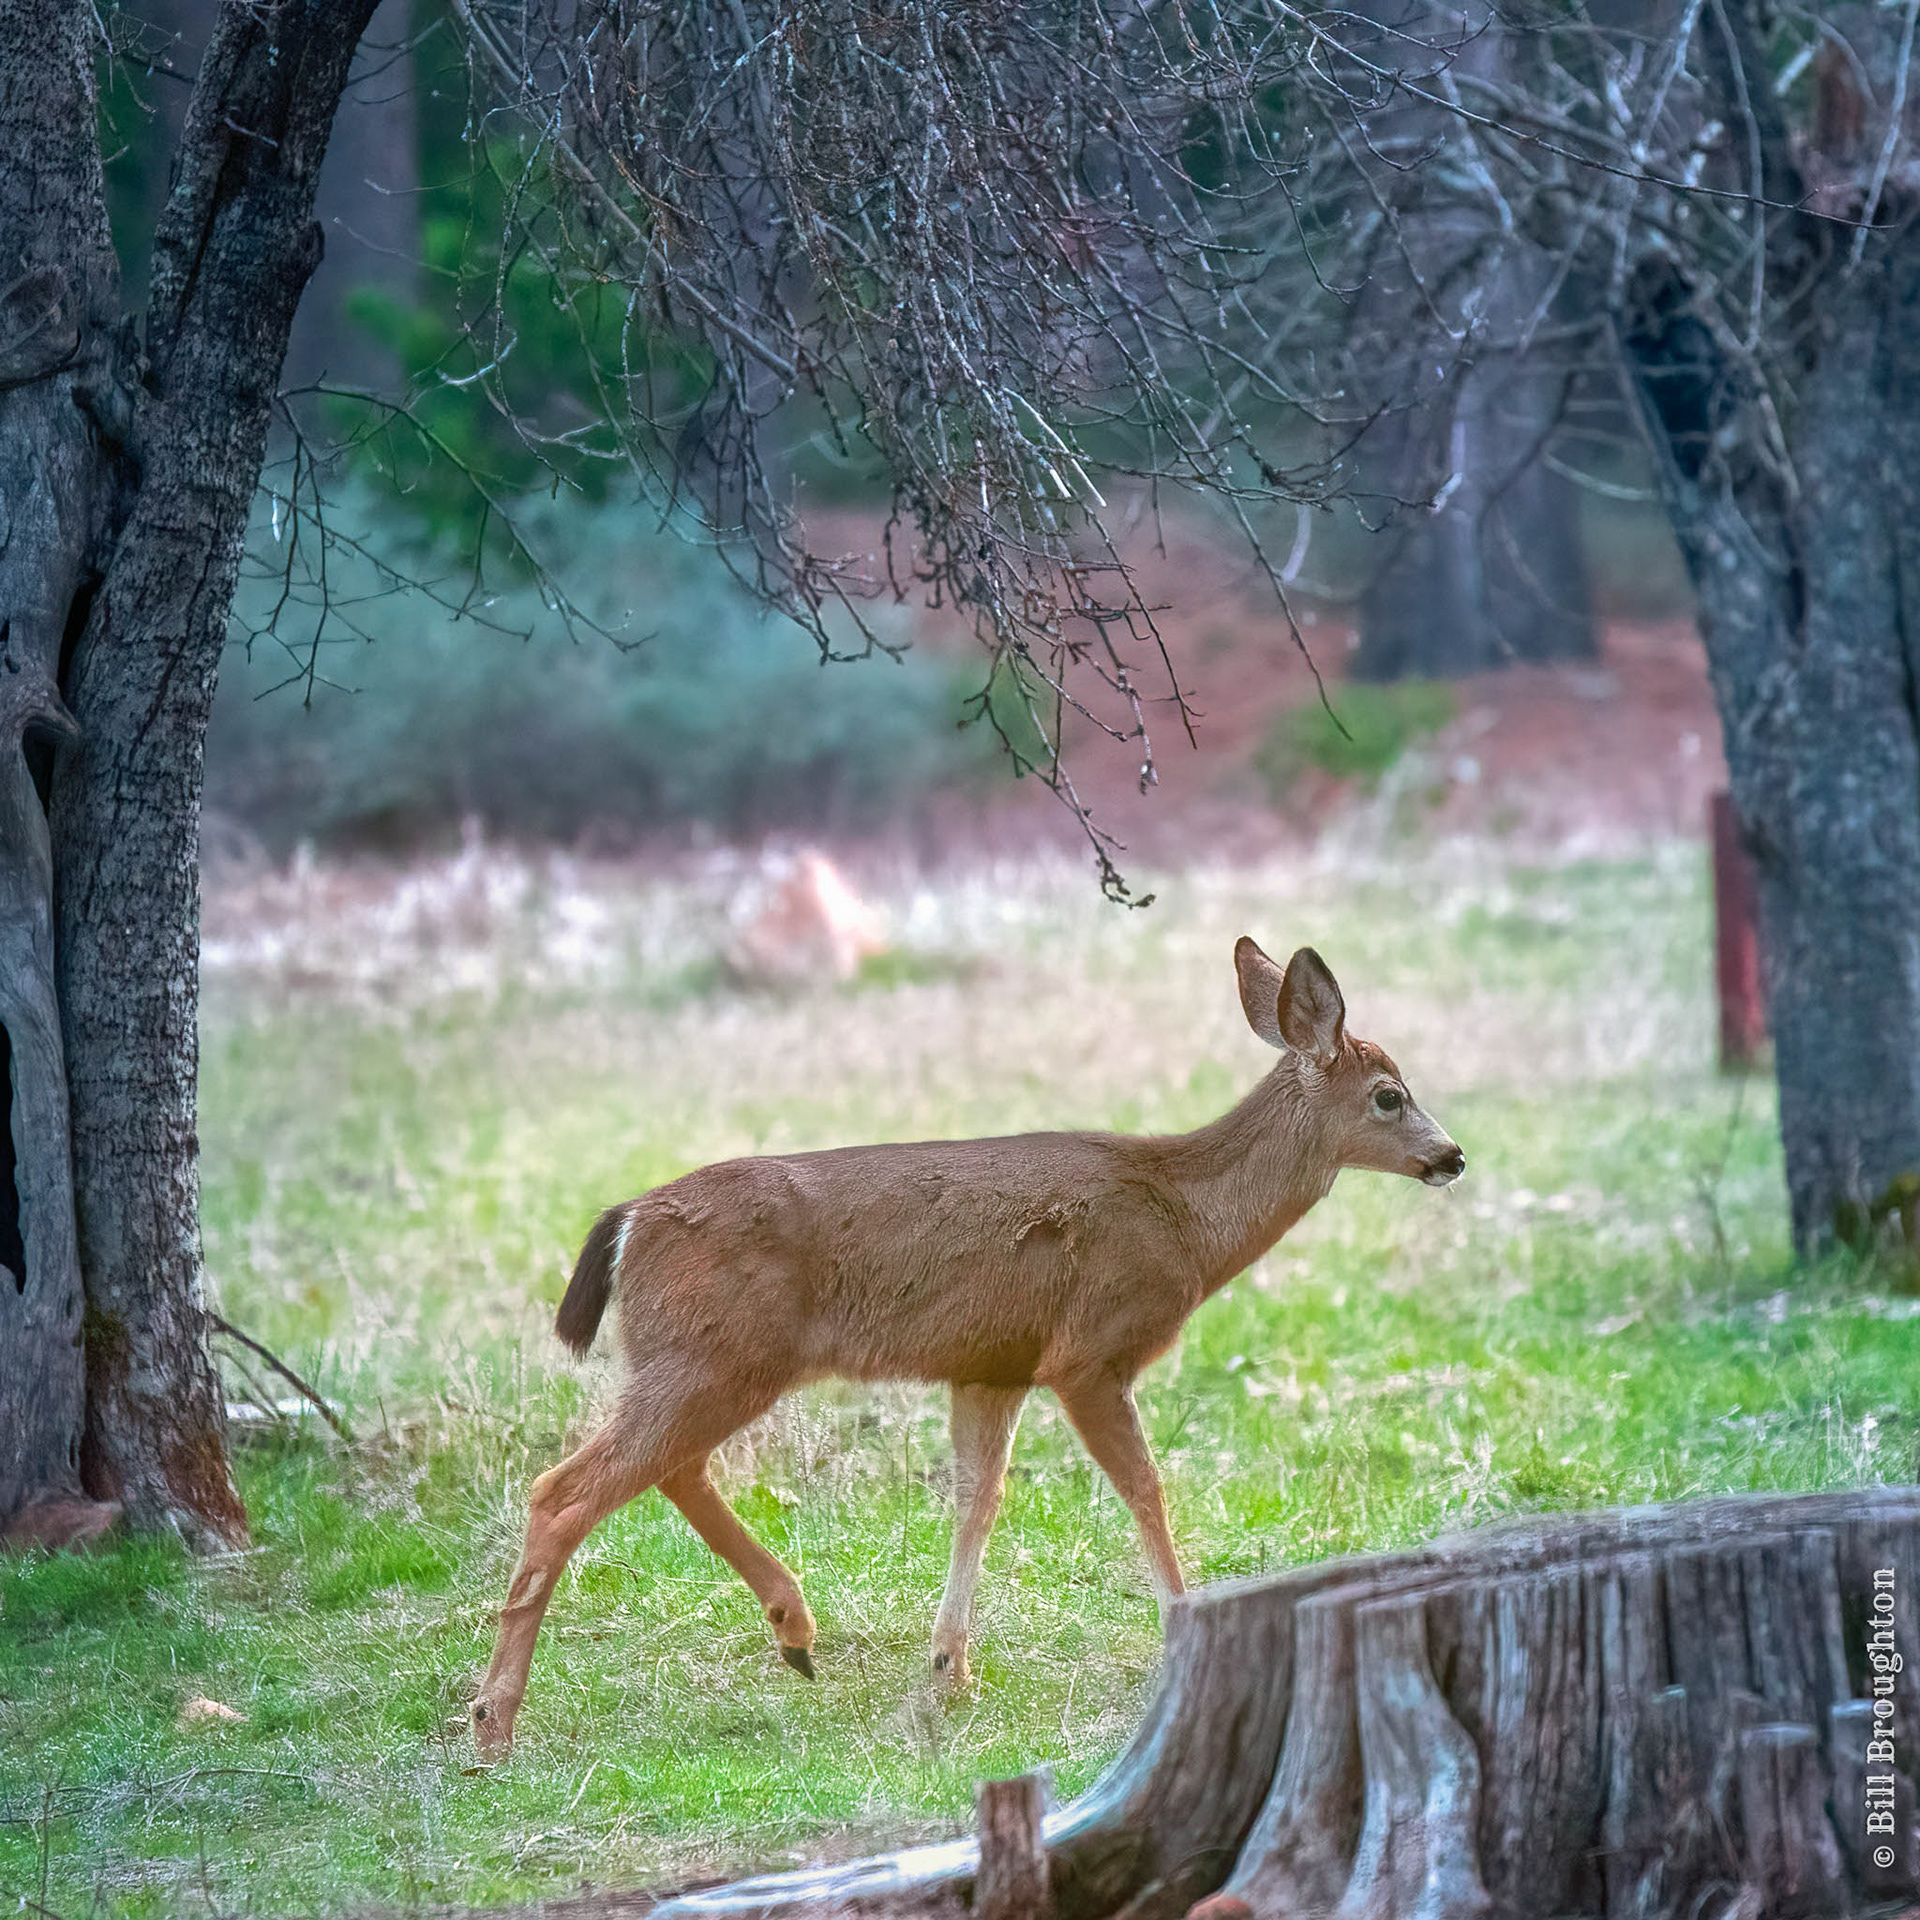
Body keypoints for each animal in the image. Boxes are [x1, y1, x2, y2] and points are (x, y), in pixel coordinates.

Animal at [471, 939, 1463, 1755]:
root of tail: (627, 1220)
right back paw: (493, 1722)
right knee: (566, 1491)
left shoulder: (992, 1367)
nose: (1452, 1156)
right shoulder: (1086, 1353)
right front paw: (1182, 1628)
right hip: (712, 1357)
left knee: (667, 1470)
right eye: (1389, 1095)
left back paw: (795, 1633)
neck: (1184, 1219)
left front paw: (948, 1673)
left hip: (705, 1361)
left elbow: (976, 1504)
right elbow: (1144, 1487)